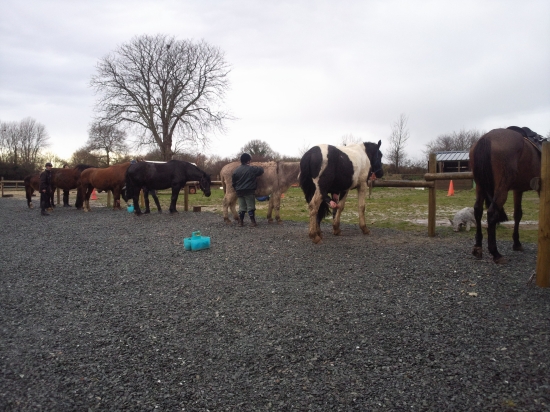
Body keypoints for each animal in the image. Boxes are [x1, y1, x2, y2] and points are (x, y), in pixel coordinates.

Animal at [472, 126, 544, 264]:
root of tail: (487, 137)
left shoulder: (518, 190)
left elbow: (518, 214)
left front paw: (517, 243)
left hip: (480, 186)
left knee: (478, 210)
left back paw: (478, 247)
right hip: (502, 187)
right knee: (492, 213)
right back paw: (496, 253)